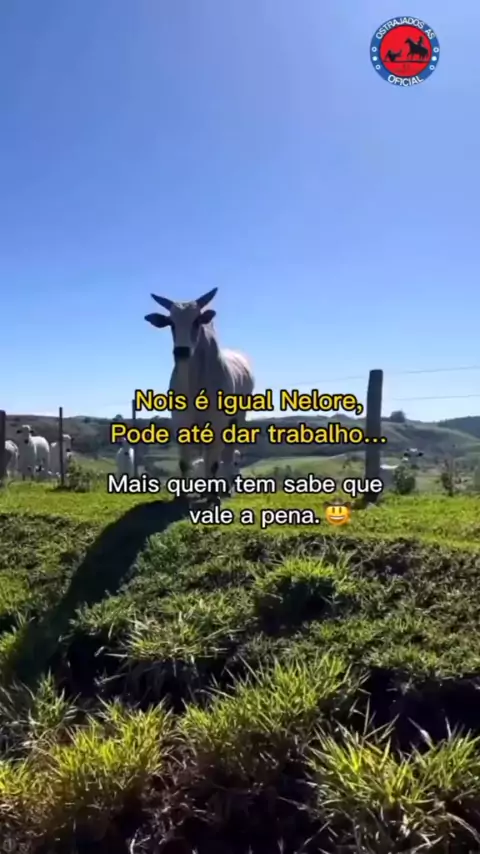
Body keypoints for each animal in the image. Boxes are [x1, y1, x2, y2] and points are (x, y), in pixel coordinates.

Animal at [145, 288, 253, 497]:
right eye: (171, 322)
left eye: (196, 321)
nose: (181, 352)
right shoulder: (181, 421)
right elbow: (185, 463)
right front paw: (183, 494)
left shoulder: (218, 424)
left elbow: (214, 463)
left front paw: (213, 495)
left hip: (238, 418)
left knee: (227, 454)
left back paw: (226, 487)